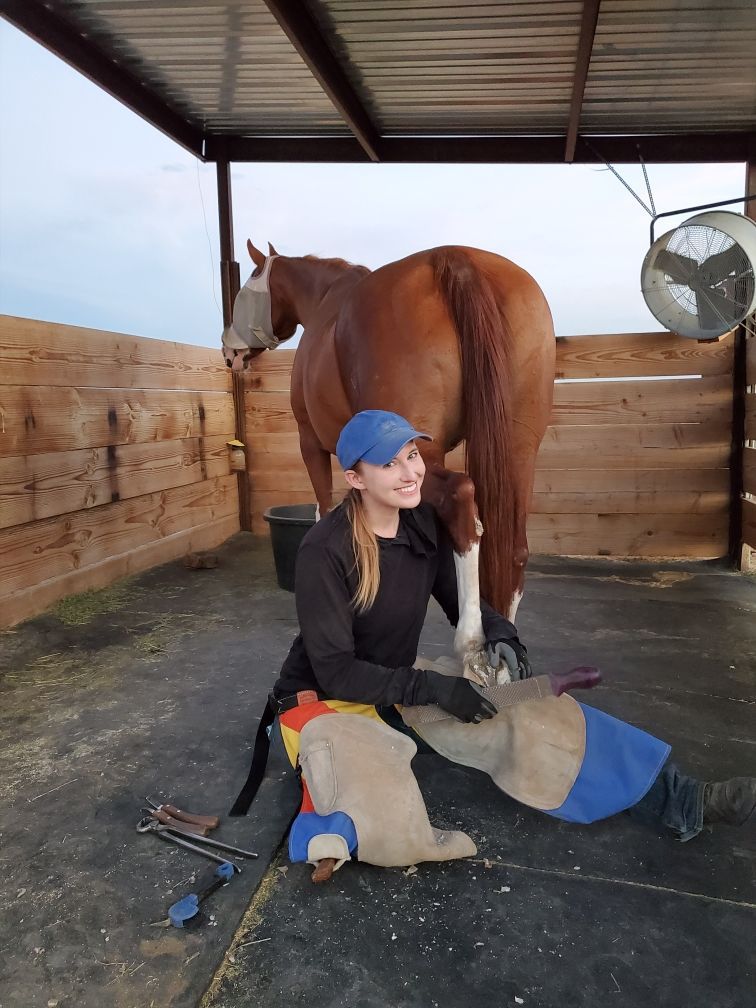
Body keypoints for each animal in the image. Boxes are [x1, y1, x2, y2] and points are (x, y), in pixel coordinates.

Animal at [222, 241, 555, 676]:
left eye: (245, 289)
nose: (230, 353)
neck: (324, 301)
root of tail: (454, 257)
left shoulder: (310, 442)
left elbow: (322, 508)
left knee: (461, 498)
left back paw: (471, 645)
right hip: (518, 448)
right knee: (512, 547)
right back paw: (502, 658)